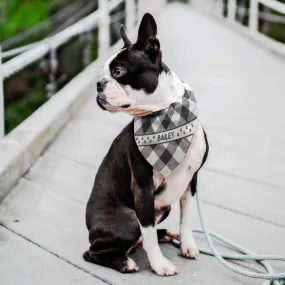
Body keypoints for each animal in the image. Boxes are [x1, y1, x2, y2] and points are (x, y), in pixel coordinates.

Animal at [83, 11, 207, 276]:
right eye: (102, 74)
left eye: (118, 72)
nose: (98, 84)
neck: (165, 113)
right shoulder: (143, 187)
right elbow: (147, 233)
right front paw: (160, 264)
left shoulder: (191, 181)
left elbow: (186, 218)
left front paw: (188, 244)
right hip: (129, 219)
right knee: (94, 252)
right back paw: (123, 262)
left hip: (163, 207)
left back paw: (166, 233)